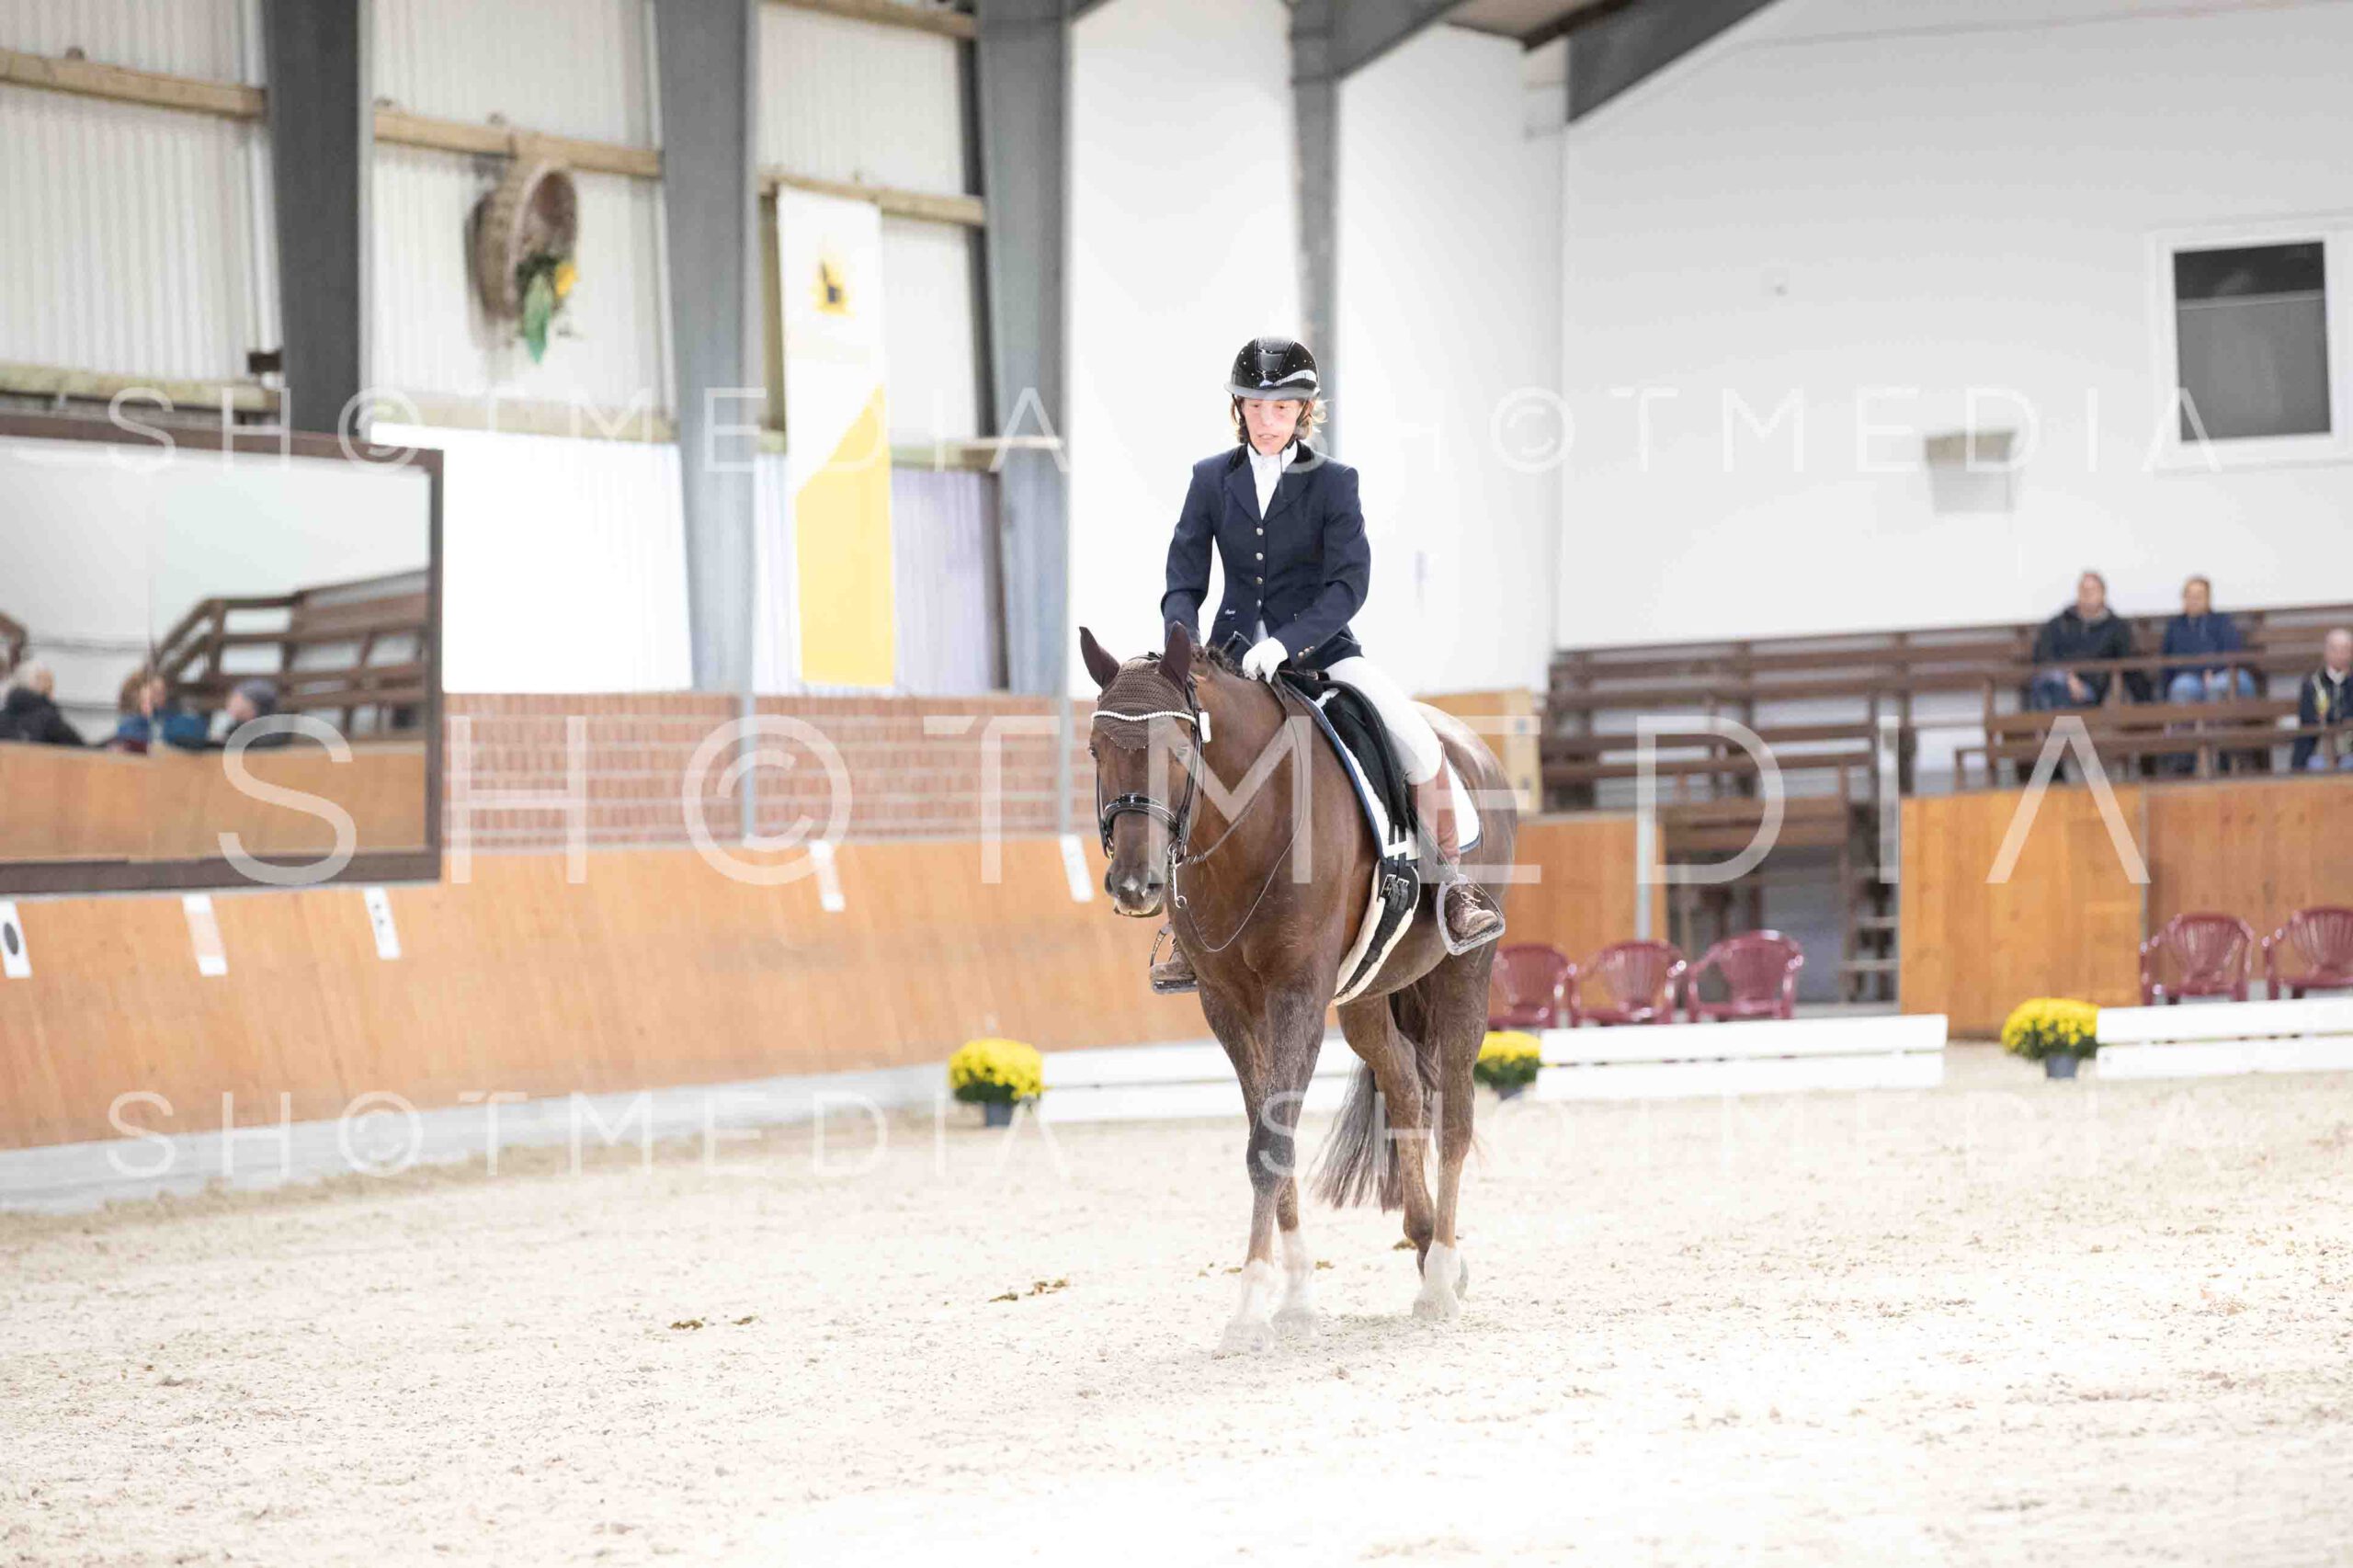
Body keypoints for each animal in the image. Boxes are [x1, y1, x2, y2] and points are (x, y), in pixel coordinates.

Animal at [1078, 620, 1521, 1354]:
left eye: (1179, 750)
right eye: (1096, 748)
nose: (1136, 885)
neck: (1244, 822)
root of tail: (1474, 746)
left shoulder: (1298, 996)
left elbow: (1271, 1142)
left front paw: (1251, 1306)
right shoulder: (1228, 1006)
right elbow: (1266, 1135)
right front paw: (1294, 1298)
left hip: (1465, 971)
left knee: (1455, 1115)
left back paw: (1440, 1276)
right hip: (1368, 995)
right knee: (1406, 1087)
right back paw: (1428, 1245)